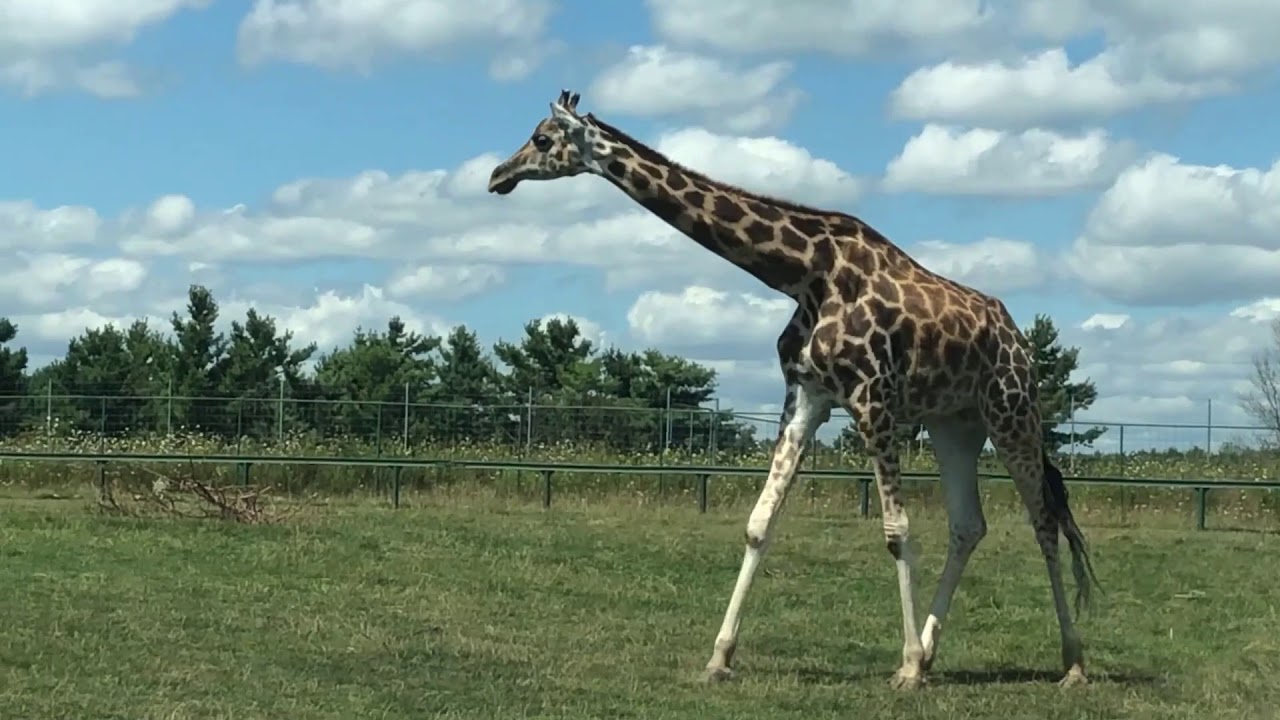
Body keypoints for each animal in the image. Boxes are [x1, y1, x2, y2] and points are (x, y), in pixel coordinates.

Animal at [481, 90, 1100, 691]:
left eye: (541, 139)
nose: (496, 175)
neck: (803, 273)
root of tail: (1020, 340)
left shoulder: (873, 399)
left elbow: (897, 531)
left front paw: (902, 668)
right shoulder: (806, 397)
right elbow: (760, 524)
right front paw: (719, 658)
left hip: (1011, 412)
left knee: (1045, 521)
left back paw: (1070, 663)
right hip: (956, 425)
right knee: (969, 525)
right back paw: (932, 655)